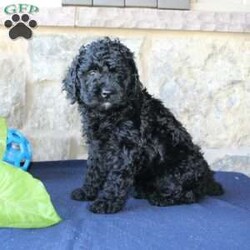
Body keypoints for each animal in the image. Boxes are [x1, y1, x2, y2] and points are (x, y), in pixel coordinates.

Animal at [63, 38, 224, 214]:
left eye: (119, 73)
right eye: (92, 72)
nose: (106, 93)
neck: (108, 114)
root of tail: (207, 178)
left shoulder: (127, 147)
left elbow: (116, 177)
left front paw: (106, 202)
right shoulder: (97, 144)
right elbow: (94, 169)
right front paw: (87, 192)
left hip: (179, 169)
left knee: (188, 194)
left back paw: (160, 198)